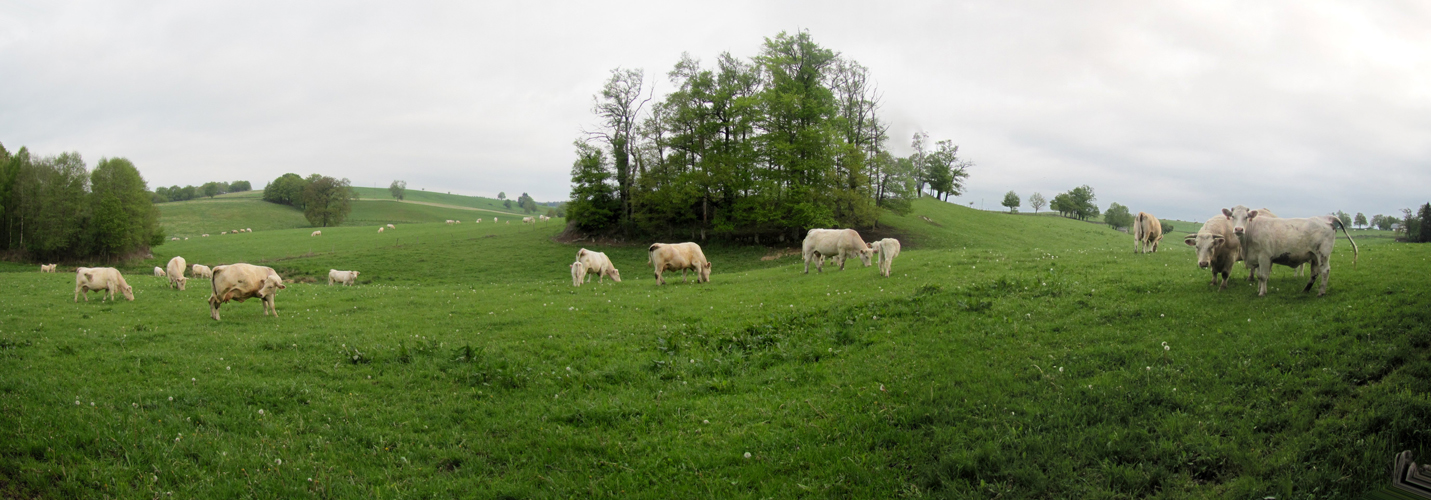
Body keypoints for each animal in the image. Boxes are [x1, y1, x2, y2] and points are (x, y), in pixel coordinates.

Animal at [1222, 205, 1359, 296]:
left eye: (1246, 217)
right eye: (1232, 216)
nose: (1238, 229)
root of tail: (1325, 218)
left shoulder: (1264, 257)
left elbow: (1263, 276)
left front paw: (1262, 293)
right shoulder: (1258, 259)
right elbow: (1260, 276)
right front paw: (1260, 290)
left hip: (1323, 254)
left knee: (1325, 271)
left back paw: (1321, 292)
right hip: (1314, 256)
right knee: (1314, 273)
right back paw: (1305, 290)